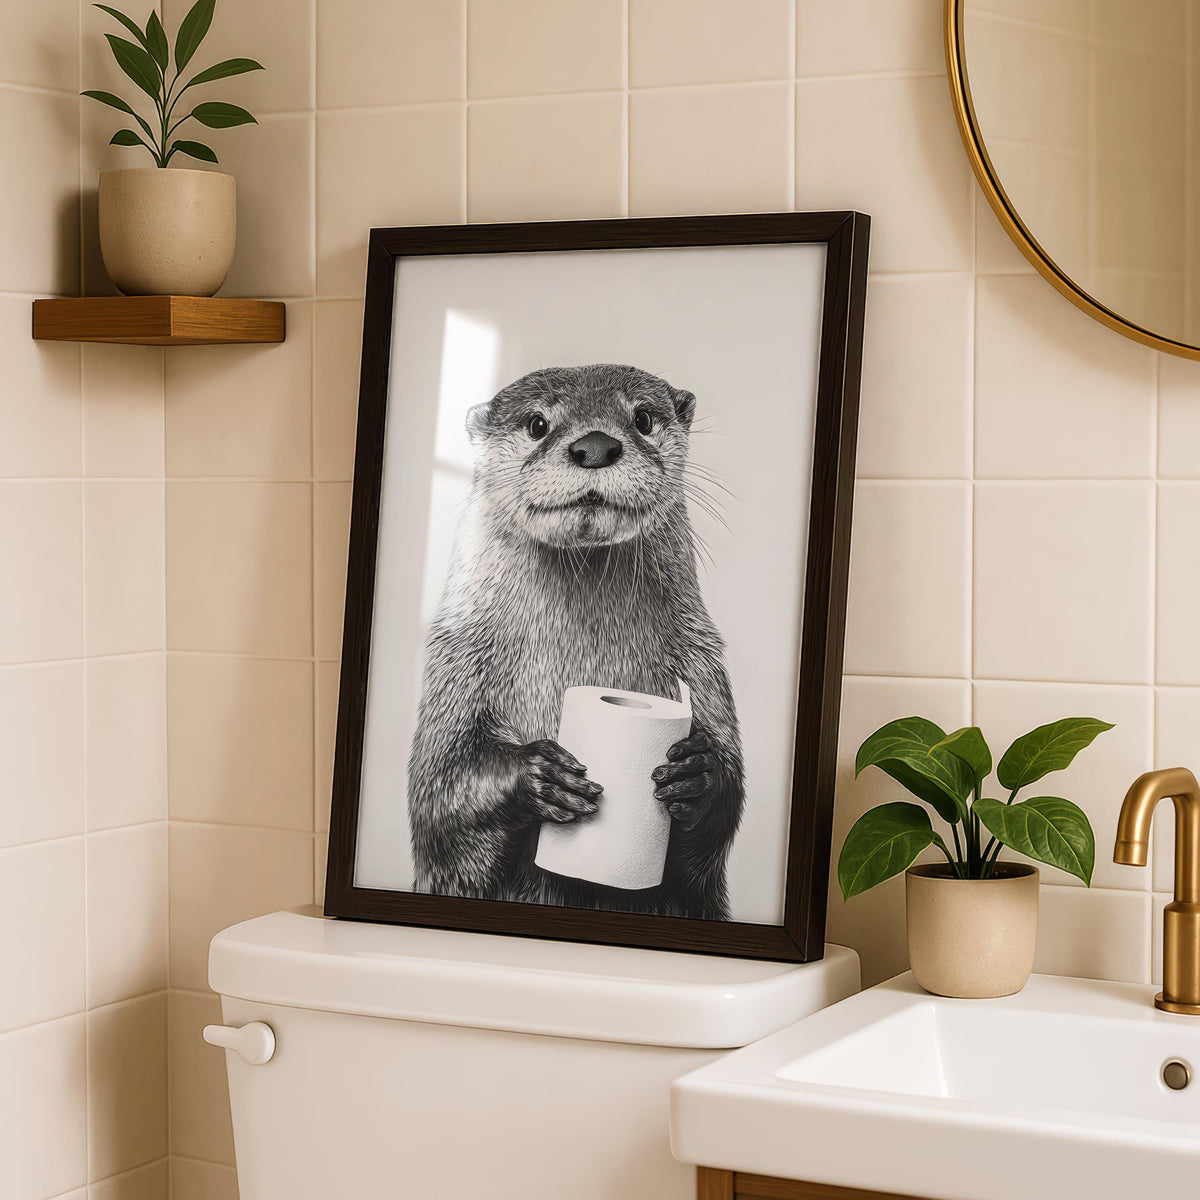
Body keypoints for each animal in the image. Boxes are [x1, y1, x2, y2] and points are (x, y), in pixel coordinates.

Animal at [407, 364, 744, 920]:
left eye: (643, 418)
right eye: (537, 423)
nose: (595, 445)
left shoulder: (700, 663)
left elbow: (720, 821)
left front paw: (696, 773)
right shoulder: (455, 666)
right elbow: (438, 799)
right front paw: (542, 775)